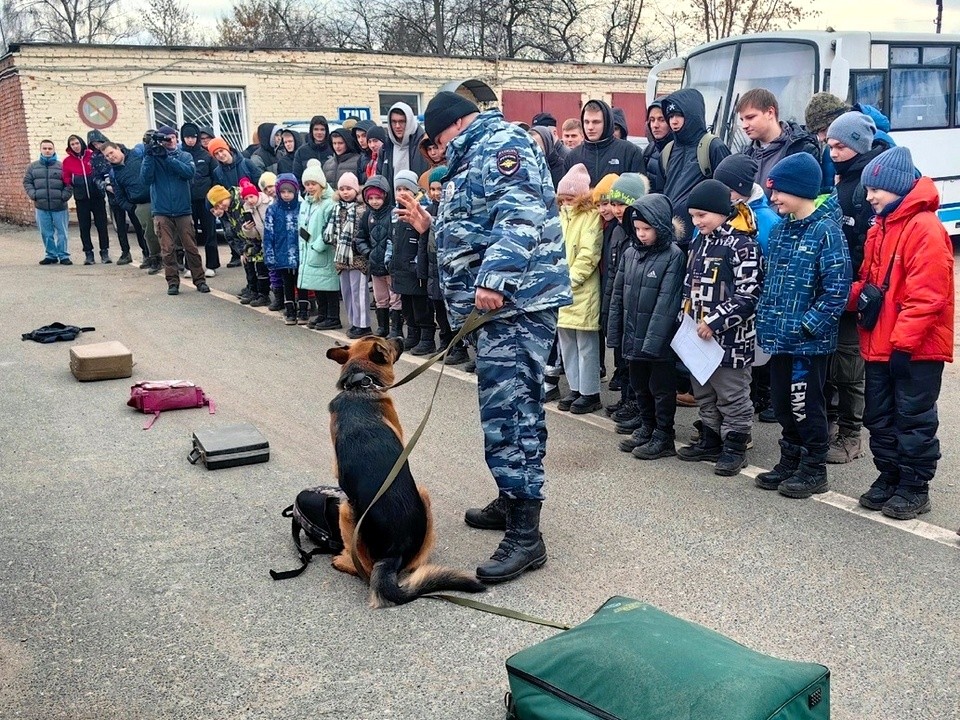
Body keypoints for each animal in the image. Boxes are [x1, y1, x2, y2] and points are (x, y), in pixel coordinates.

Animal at [326, 338, 488, 608]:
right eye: (386, 342)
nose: (400, 339)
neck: (360, 386)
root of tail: (395, 552)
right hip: (416, 496)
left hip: (347, 508)